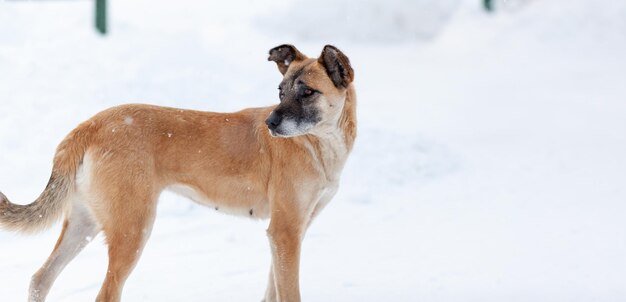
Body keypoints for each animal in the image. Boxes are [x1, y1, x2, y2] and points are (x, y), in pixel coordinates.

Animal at [0, 44, 354, 302]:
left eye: (307, 92)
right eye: (280, 91)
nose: (270, 123)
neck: (319, 143)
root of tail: (89, 126)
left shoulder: (287, 233)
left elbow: (272, 289)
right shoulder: (285, 233)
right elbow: (289, 292)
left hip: (84, 223)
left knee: (40, 279)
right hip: (133, 231)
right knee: (104, 294)